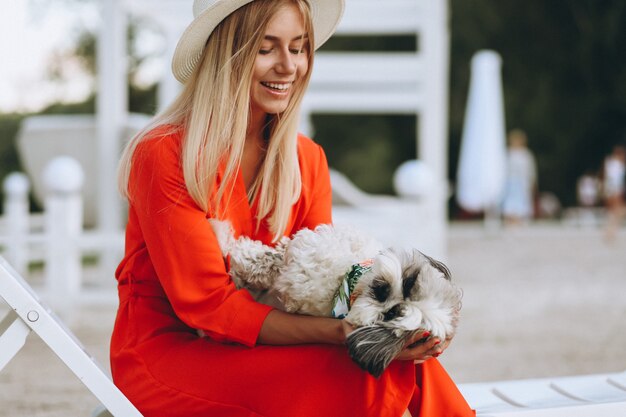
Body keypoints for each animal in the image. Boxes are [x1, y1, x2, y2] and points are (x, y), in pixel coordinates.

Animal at [208, 219, 458, 376]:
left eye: (391, 314)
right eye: (409, 283)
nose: (384, 293)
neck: (348, 277)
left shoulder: (296, 275)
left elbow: (262, 261)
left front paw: (227, 242)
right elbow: (275, 254)